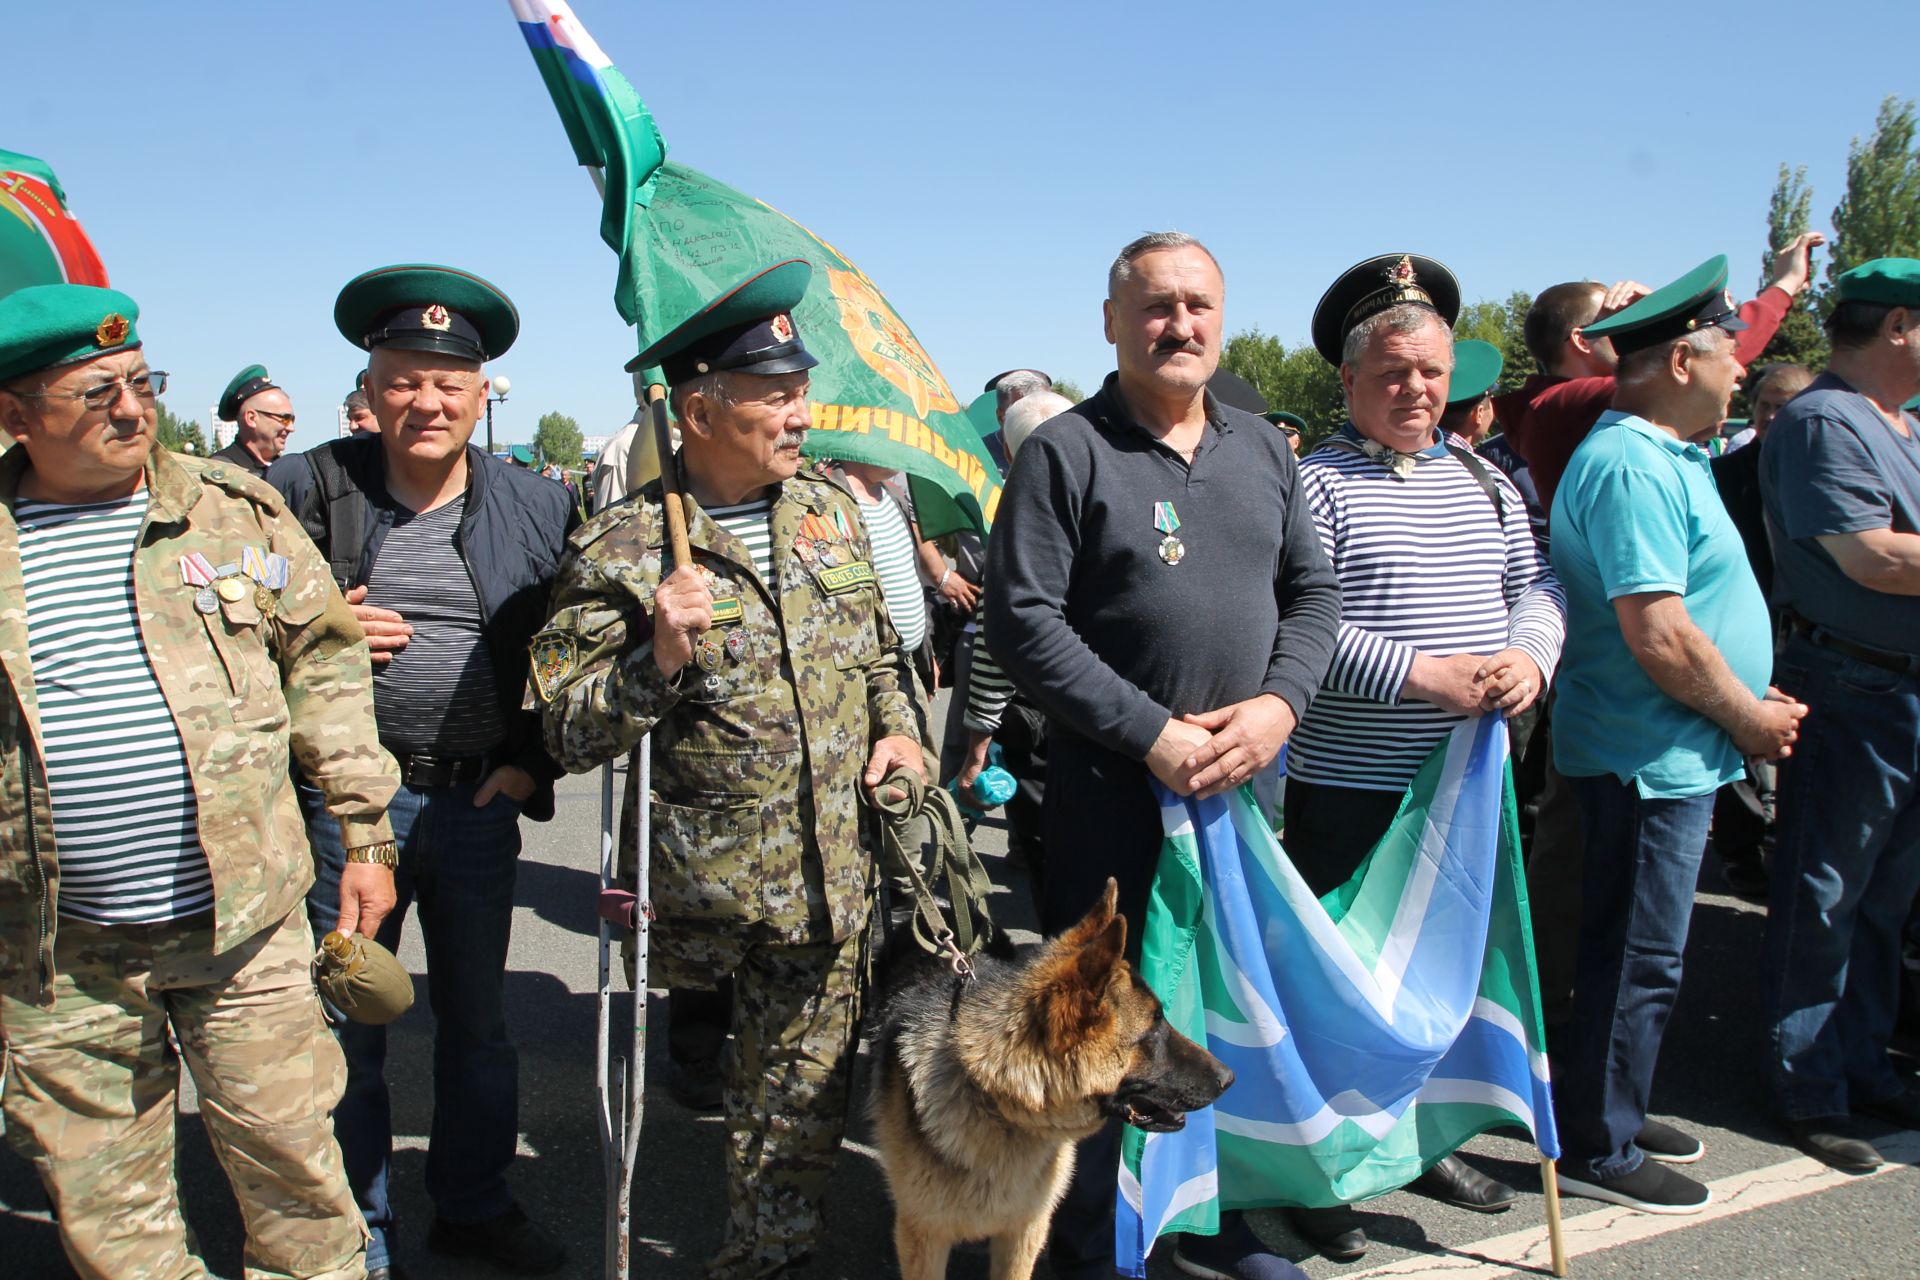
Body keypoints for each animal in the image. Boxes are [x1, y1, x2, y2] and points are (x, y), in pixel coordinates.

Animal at [867, 882, 1228, 1280]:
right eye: (1152, 1031)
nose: (1230, 1078)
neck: (996, 1104)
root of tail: (937, 905)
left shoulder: (1025, 1231)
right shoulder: (926, 1238)